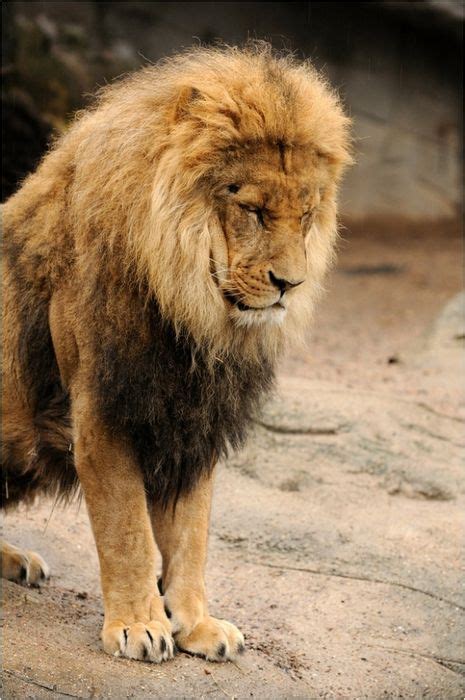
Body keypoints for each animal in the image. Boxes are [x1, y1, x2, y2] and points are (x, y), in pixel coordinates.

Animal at [0, 43, 350, 660]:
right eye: (254, 210)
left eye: (306, 214)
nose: (291, 284)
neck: (192, 315)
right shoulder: (103, 406)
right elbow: (129, 530)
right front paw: (139, 624)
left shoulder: (193, 420)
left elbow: (190, 532)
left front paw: (196, 624)